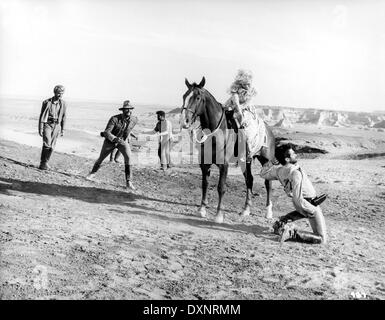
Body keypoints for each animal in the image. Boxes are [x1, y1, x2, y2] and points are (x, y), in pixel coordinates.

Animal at [178, 76, 274, 224]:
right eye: (184, 96)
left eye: (198, 97)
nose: (185, 121)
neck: (216, 132)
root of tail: (269, 131)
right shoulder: (204, 165)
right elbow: (205, 184)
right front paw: (202, 209)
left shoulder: (224, 165)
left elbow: (221, 187)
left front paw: (219, 215)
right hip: (245, 161)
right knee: (249, 180)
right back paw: (246, 210)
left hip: (266, 160)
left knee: (268, 183)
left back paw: (268, 212)